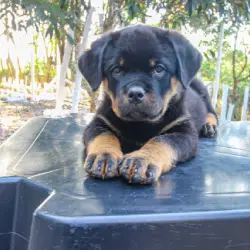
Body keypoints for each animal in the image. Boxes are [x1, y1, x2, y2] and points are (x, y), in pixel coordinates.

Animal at [77, 24, 217, 184]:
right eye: (117, 70)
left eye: (159, 69)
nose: (135, 94)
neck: (140, 124)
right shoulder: (98, 122)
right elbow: (103, 135)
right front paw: (104, 156)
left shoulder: (184, 130)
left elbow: (162, 140)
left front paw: (141, 159)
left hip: (201, 89)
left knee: (212, 112)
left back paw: (209, 125)